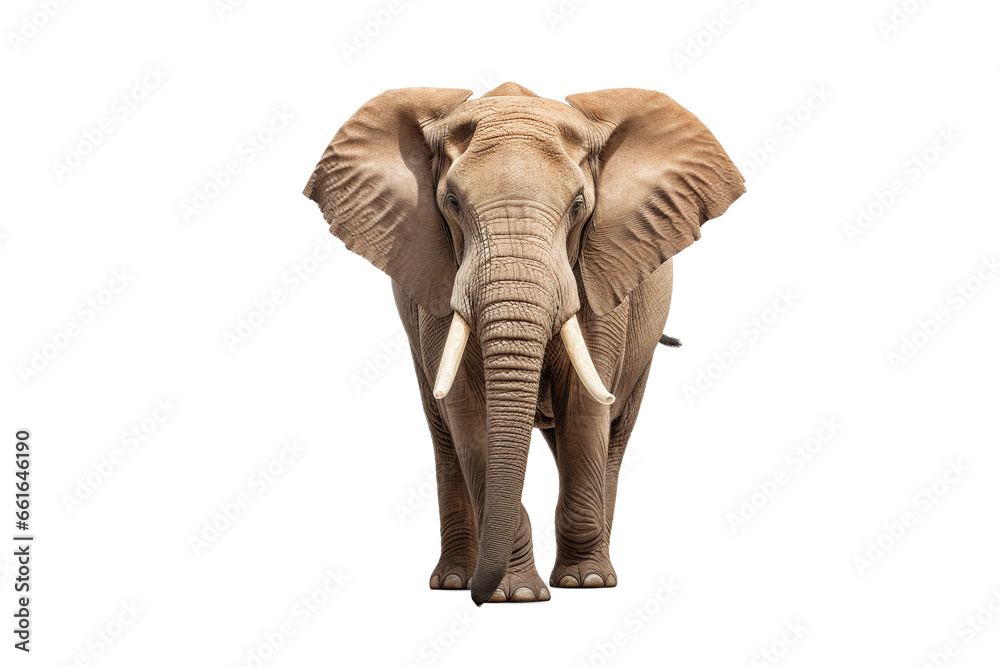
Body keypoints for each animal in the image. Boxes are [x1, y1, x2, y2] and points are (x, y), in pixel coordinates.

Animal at [303, 82, 744, 605]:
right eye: (452, 202)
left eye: (578, 205)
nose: (479, 596)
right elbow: (466, 410)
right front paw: (513, 594)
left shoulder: (598, 276)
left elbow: (584, 406)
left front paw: (582, 583)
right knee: (444, 436)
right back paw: (452, 581)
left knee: (613, 433)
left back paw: (599, 574)